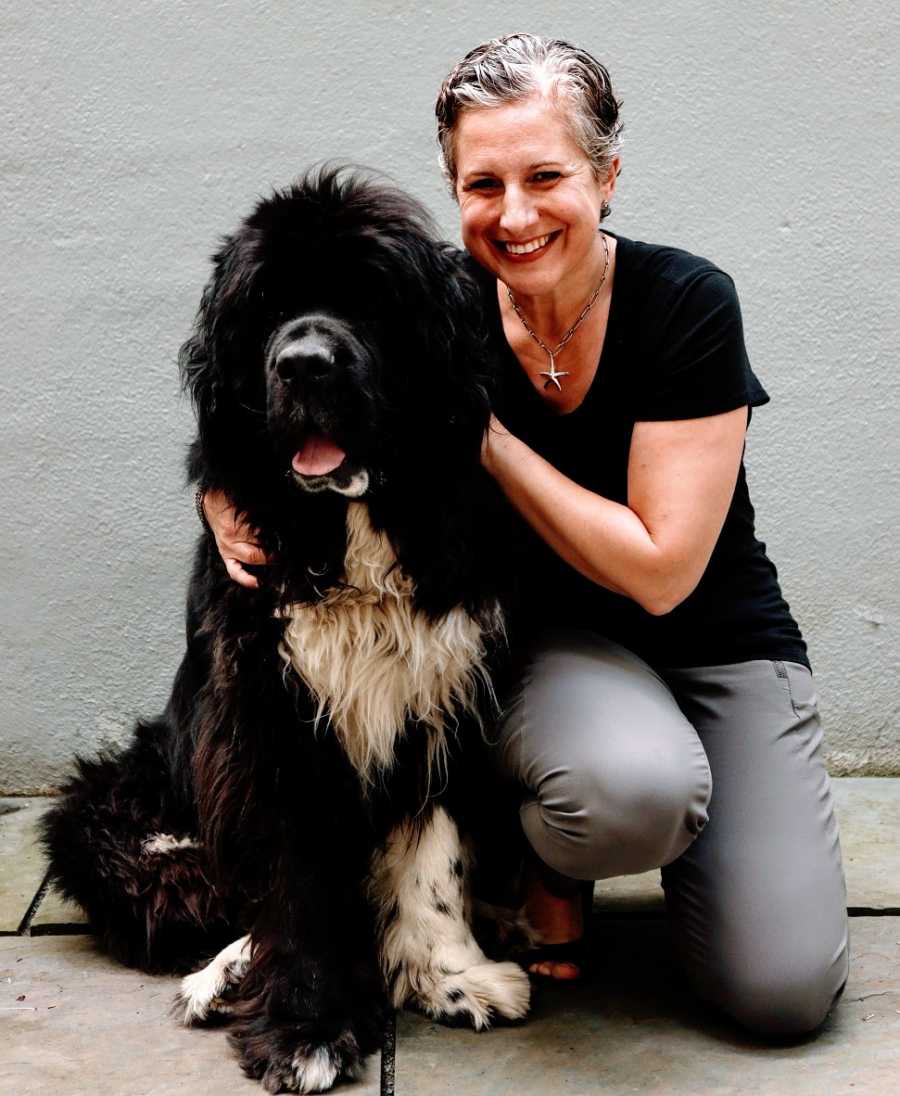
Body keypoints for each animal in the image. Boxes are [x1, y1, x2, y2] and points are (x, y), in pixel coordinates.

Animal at [42, 166, 530, 1091]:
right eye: (266, 307)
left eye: (369, 296)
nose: (303, 362)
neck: (349, 532)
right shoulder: (267, 717)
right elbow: (292, 879)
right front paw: (307, 1026)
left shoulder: (446, 692)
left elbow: (434, 854)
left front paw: (449, 974)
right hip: (109, 810)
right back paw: (224, 974)